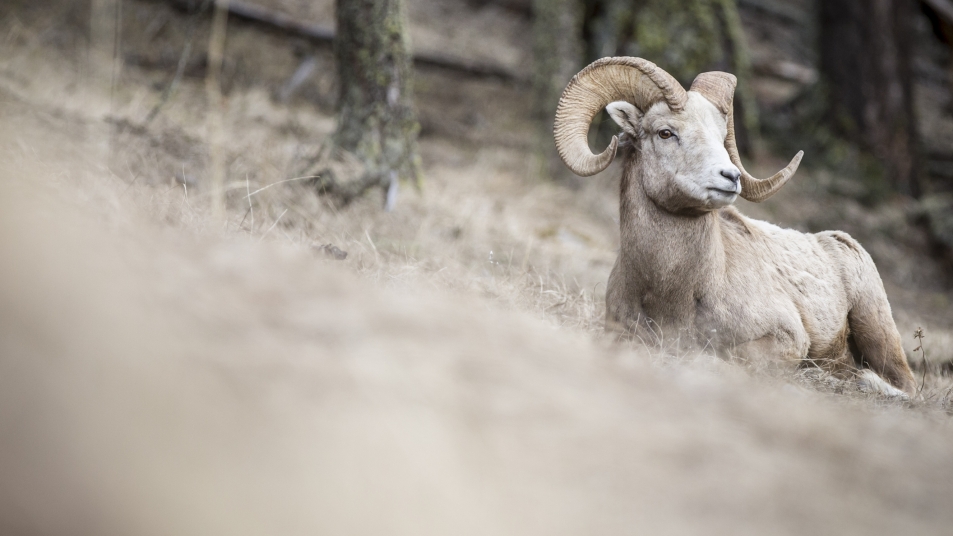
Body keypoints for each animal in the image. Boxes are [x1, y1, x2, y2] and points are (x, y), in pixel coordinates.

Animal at [556, 56, 920, 396]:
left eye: (721, 137)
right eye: (665, 132)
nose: (730, 177)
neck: (672, 293)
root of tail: (840, 242)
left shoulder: (785, 338)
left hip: (876, 329)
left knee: (905, 385)